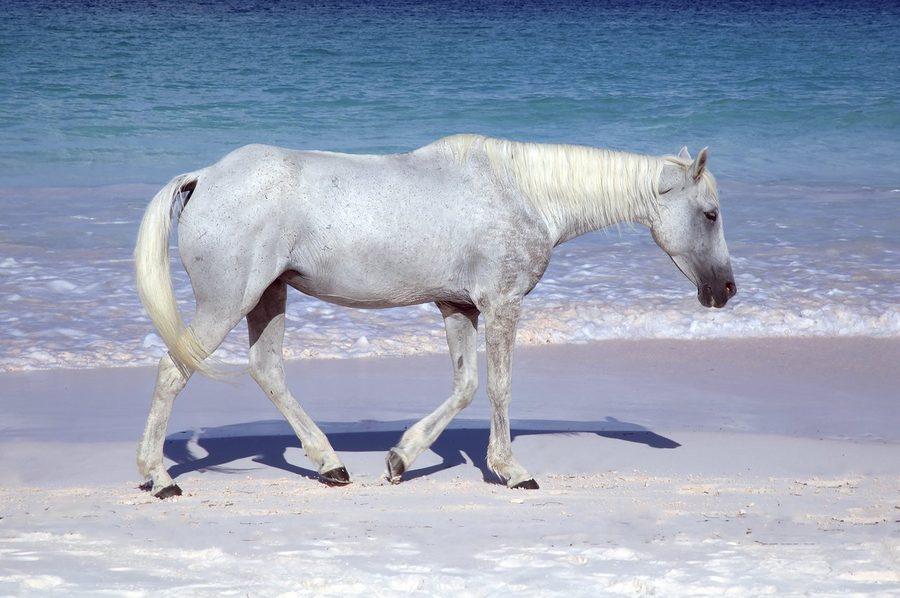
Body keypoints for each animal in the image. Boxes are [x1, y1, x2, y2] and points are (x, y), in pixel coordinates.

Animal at [134, 134, 736, 498]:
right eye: (710, 214)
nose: (726, 289)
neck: (524, 194)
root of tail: (205, 177)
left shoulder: (458, 307)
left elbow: (465, 387)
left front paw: (401, 459)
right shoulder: (501, 305)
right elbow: (498, 387)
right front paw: (512, 471)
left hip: (267, 297)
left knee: (268, 371)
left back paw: (330, 464)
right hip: (227, 302)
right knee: (172, 372)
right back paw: (158, 478)